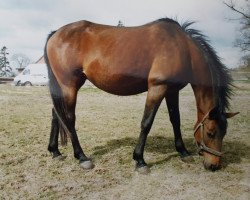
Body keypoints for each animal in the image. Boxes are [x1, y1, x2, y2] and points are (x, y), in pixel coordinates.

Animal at [44, 18, 238, 173]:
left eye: (225, 132)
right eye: (211, 133)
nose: (214, 165)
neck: (182, 48)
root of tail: (55, 34)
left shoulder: (172, 90)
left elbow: (175, 120)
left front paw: (183, 152)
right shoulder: (157, 88)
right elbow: (146, 123)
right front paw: (140, 160)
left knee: (55, 114)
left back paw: (55, 151)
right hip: (69, 86)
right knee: (68, 118)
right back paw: (82, 157)